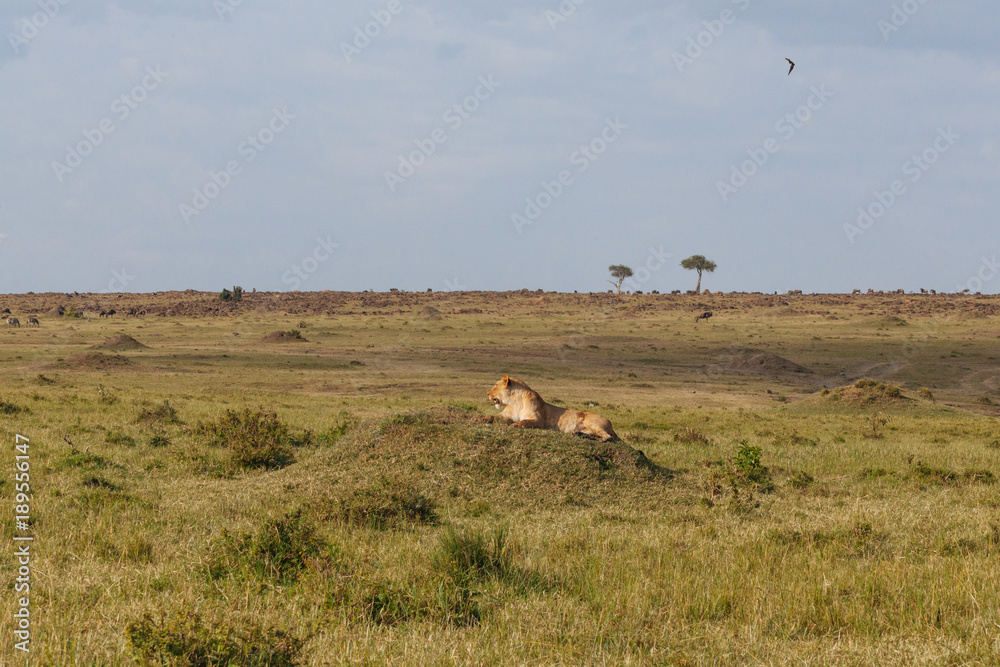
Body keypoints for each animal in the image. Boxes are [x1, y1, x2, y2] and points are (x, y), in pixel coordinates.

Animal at [480, 375, 619, 442]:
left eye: (495, 386)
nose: (487, 393)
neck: (515, 401)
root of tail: (611, 424)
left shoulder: (538, 420)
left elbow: (524, 421)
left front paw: (515, 425)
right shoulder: (505, 416)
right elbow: (491, 417)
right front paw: (479, 419)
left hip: (591, 420)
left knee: (608, 436)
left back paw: (600, 440)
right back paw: (578, 434)